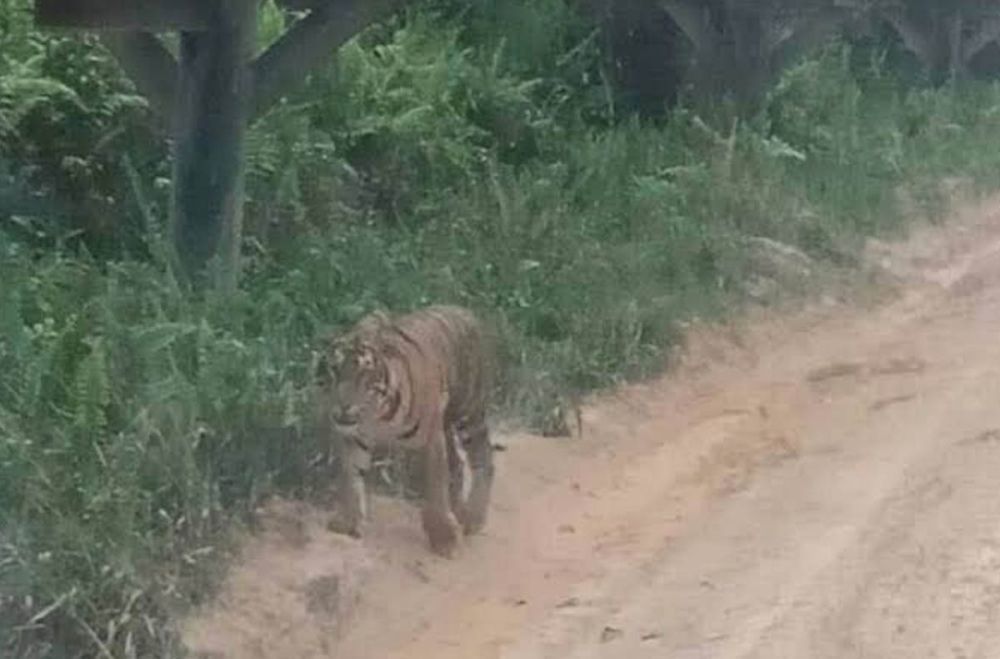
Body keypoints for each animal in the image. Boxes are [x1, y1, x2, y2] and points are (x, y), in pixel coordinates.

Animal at [316, 304, 496, 556]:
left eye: (363, 375)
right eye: (334, 370)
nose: (343, 406)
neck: (378, 415)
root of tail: (463, 310)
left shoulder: (431, 439)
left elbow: (435, 486)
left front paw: (443, 538)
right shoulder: (355, 437)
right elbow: (350, 477)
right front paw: (346, 522)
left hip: (468, 410)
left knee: (483, 456)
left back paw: (473, 518)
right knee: (458, 464)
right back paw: (459, 511)